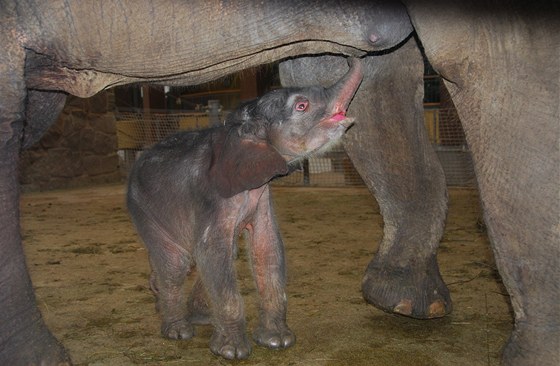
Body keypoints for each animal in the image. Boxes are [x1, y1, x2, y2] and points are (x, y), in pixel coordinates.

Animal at [127, 58, 364, 360]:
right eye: (302, 106)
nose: (349, 57)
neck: (243, 125)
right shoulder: (212, 197)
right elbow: (212, 252)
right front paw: (233, 352)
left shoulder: (261, 196)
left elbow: (266, 247)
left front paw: (278, 342)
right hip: (142, 207)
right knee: (177, 262)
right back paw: (178, 331)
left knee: (212, 255)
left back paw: (194, 314)